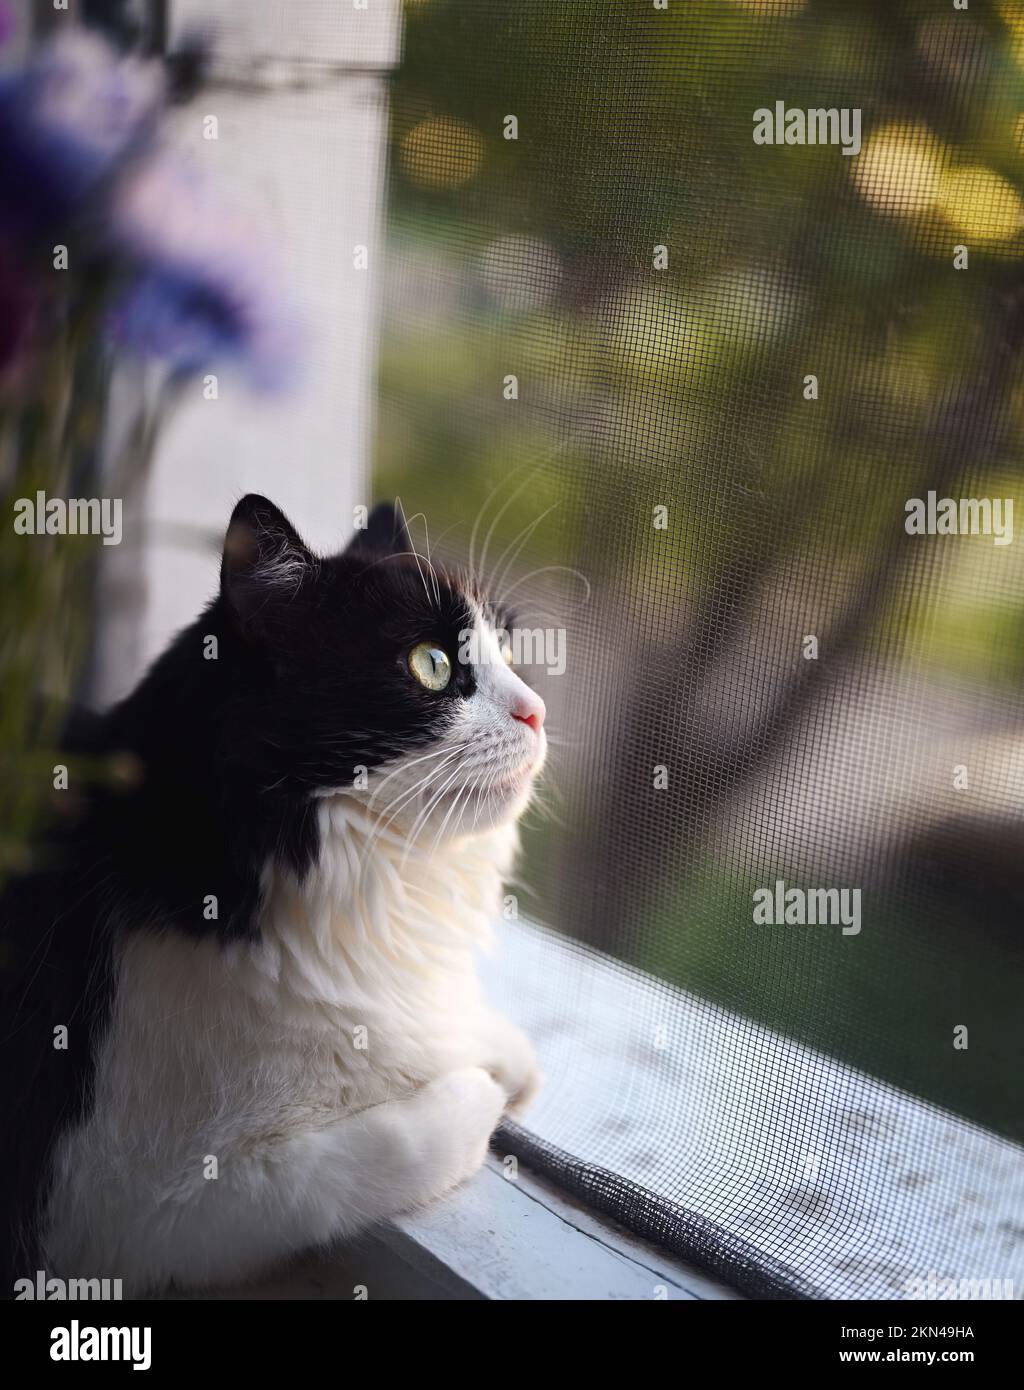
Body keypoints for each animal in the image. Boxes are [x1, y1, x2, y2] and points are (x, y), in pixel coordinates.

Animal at [1, 497, 544, 1289]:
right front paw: (484, 1090)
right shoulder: (143, 1209)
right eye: (433, 665)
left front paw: (501, 1053)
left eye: (505, 647)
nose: (538, 711)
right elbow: (394, 1145)